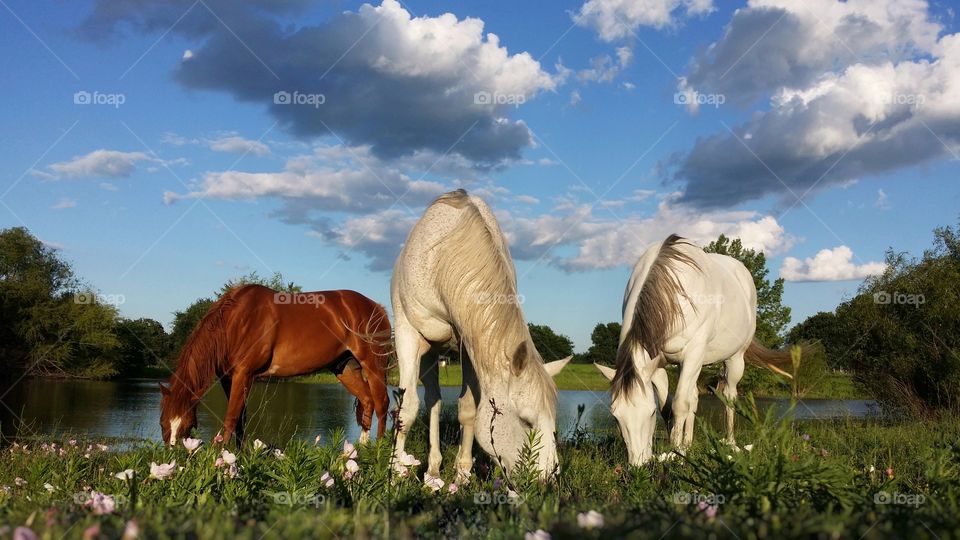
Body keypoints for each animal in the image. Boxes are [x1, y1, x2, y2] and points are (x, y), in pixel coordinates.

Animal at [159, 284, 391, 447]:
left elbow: (231, 418)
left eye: (188, 424)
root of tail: (377, 308)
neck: (236, 322)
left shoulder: (244, 374)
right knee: (367, 402)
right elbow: (241, 419)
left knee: (382, 404)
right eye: (162, 423)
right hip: (346, 369)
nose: (173, 456)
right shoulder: (228, 378)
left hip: (374, 366)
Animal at [391, 189, 571, 479]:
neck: (442, 257)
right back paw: (432, 469)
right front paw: (395, 473)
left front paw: (463, 474)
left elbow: (468, 410)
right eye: (526, 421)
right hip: (428, 349)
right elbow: (406, 409)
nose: (546, 479)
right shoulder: (407, 333)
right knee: (432, 401)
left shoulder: (472, 343)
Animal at [594, 235, 791, 465]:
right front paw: (677, 448)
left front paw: (676, 453)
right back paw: (687, 443)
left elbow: (679, 404)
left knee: (729, 396)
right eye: (615, 416)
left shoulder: (692, 355)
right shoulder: (659, 364)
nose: (638, 465)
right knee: (694, 397)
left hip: (734, 359)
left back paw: (730, 443)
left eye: (650, 413)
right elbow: (670, 407)